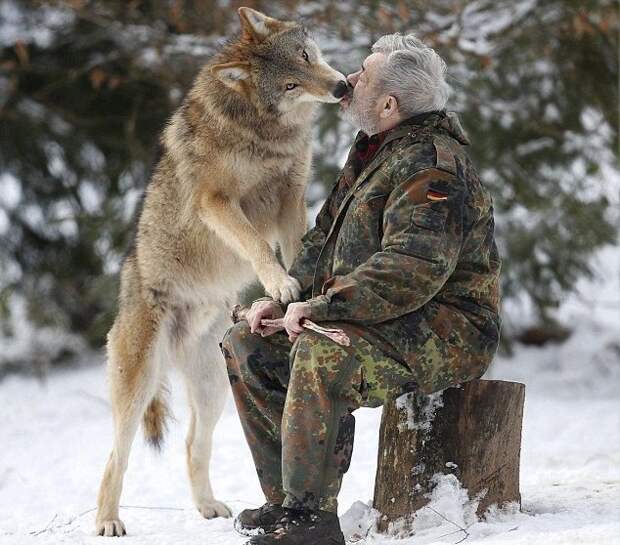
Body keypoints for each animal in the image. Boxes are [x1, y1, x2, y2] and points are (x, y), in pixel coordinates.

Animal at [97, 7, 348, 536]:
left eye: (306, 56)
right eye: (291, 84)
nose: (340, 88)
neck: (264, 133)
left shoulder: (291, 195)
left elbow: (297, 245)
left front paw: (298, 292)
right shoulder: (217, 202)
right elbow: (255, 244)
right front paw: (279, 283)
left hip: (214, 388)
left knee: (194, 444)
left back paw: (208, 507)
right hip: (139, 386)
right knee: (116, 456)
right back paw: (107, 522)